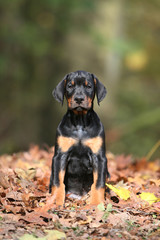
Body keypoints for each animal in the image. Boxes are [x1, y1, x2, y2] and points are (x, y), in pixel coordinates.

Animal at [49, 70, 109, 205]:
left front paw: (96, 203)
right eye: (70, 86)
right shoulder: (60, 156)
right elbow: (58, 181)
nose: (79, 99)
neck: (80, 123)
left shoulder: (99, 157)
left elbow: (98, 183)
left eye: (89, 86)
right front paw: (56, 201)